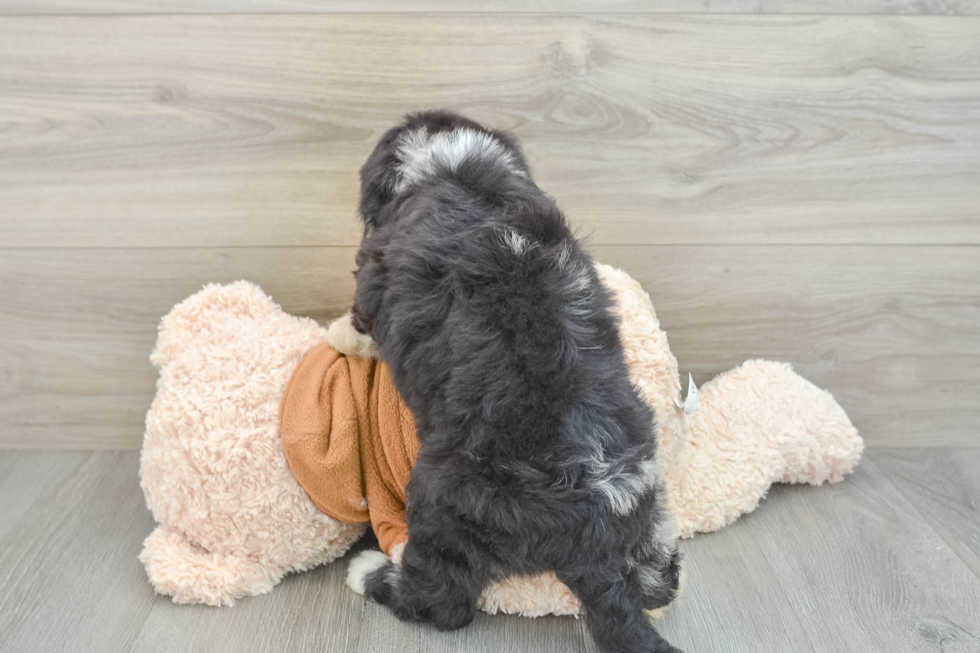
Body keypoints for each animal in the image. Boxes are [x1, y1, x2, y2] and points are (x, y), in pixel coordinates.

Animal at [336, 112, 680, 652]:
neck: (450, 164)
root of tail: (594, 540)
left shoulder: (375, 272)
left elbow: (360, 319)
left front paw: (337, 334)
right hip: (648, 497)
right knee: (659, 573)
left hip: (446, 502)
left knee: (441, 600)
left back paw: (372, 571)